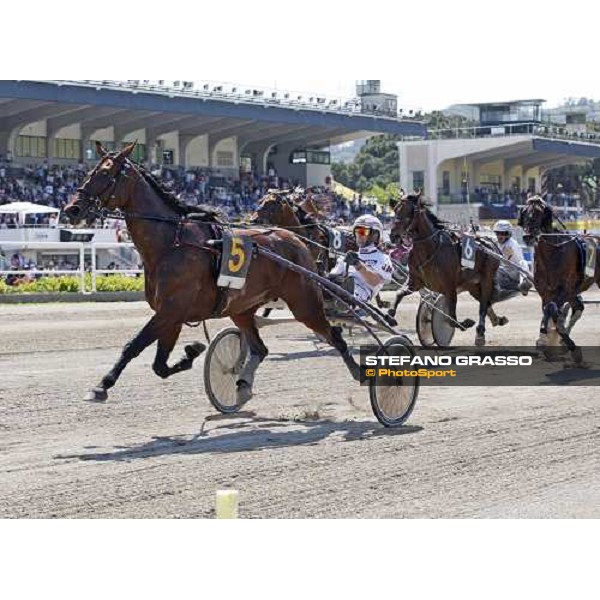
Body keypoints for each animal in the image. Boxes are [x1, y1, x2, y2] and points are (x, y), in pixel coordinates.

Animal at [65, 141, 364, 406]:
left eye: (106, 174)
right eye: (89, 172)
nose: (72, 209)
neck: (171, 244)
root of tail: (294, 238)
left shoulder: (171, 310)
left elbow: (134, 345)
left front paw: (101, 386)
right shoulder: (171, 314)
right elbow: (160, 365)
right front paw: (191, 352)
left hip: (304, 302)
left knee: (334, 334)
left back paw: (358, 371)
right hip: (241, 308)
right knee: (260, 348)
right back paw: (242, 385)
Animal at [386, 192, 508, 346]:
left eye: (409, 212)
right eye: (395, 209)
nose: (393, 235)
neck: (429, 248)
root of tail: (490, 242)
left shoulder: (449, 286)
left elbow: (450, 318)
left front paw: (465, 323)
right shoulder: (415, 281)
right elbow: (399, 293)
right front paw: (390, 315)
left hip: (486, 279)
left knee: (483, 304)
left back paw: (480, 332)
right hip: (472, 285)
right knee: (484, 302)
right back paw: (496, 320)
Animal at [516, 195, 596, 354]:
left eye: (538, 213)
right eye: (525, 212)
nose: (528, 236)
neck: (553, 252)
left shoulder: (564, 288)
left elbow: (552, 309)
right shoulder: (544, 290)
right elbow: (550, 310)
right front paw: (554, 337)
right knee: (578, 307)